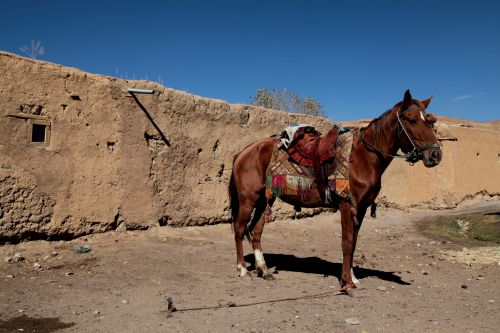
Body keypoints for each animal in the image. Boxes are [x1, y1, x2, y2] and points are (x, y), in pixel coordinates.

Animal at [227, 90, 442, 290]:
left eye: (431, 122)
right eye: (412, 120)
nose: (435, 155)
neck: (363, 157)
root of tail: (244, 151)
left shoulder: (361, 208)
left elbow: (354, 242)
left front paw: (353, 277)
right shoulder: (346, 204)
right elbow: (346, 242)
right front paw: (347, 283)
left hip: (265, 199)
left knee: (255, 231)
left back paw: (264, 270)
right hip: (248, 199)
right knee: (239, 229)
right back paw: (243, 269)